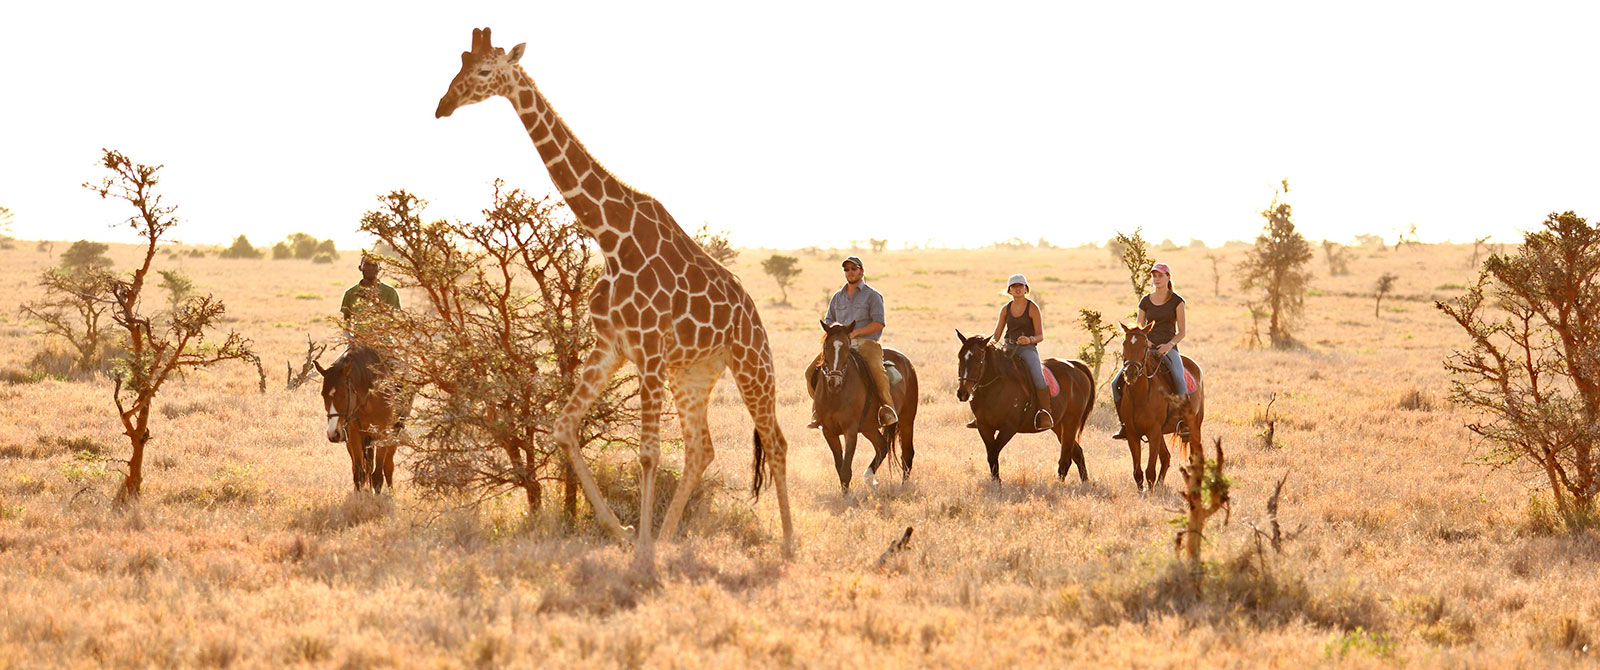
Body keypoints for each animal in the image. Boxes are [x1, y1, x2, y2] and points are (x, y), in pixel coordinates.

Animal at [313, 346, 398, 492]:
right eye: (323, 395)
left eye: (344, 394)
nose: (332, 433)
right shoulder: (353, 433)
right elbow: (359, 473)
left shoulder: (382, 432)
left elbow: (378, 474)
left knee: (388, 465)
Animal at [438, 27, 793, 566]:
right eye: (457, 65)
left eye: (483, 71)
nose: (442, 106)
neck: (609, 235)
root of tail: (752, 312)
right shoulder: (612, 346)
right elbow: (564, 427)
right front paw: (625, 533)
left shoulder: (646, 348)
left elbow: (647, 453)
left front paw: (640, 548)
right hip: (692, 372)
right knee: (701, 449)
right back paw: (668, 535)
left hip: (751, 360)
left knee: (775, 441)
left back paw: (789, 544)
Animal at [806, 323, 921, 489]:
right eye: (826, 347)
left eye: (846, 348)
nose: (834, 382)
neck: (835, 395)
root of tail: (907, 363)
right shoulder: (828, 431)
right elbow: (839, 467)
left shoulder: (851, 430)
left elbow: (846, 469)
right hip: (869, 427)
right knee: (882, 447)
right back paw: (869, 476)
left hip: (907, 419)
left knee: (907, 453)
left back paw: (902, 487)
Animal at [953, 331, 1094, 482]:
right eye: (960, 357)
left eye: (979, 360)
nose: (962, 393)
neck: (995, 387)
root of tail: (1074, 366)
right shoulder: (984, 426)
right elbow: (991, 455)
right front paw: (996, 482)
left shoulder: (1009, 427)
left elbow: (993, 452)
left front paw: (997, 483)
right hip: (1057, 425)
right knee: (1077, 452)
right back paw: (1085, 482)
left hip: (1070, 422)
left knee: (1066, 458)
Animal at [1120, 324, 1203, 492]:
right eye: (1124, 344)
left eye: (1144, 345)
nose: (1131, 373)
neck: (1140, 396)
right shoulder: (1132, 433)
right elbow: (1137, 471)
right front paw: (1143, 491)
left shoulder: (1153, 432)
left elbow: (1150, 470)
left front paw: (1150, 492)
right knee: (1166, 457)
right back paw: (1160, 485)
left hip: (1195, 425)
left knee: (1195, 456)